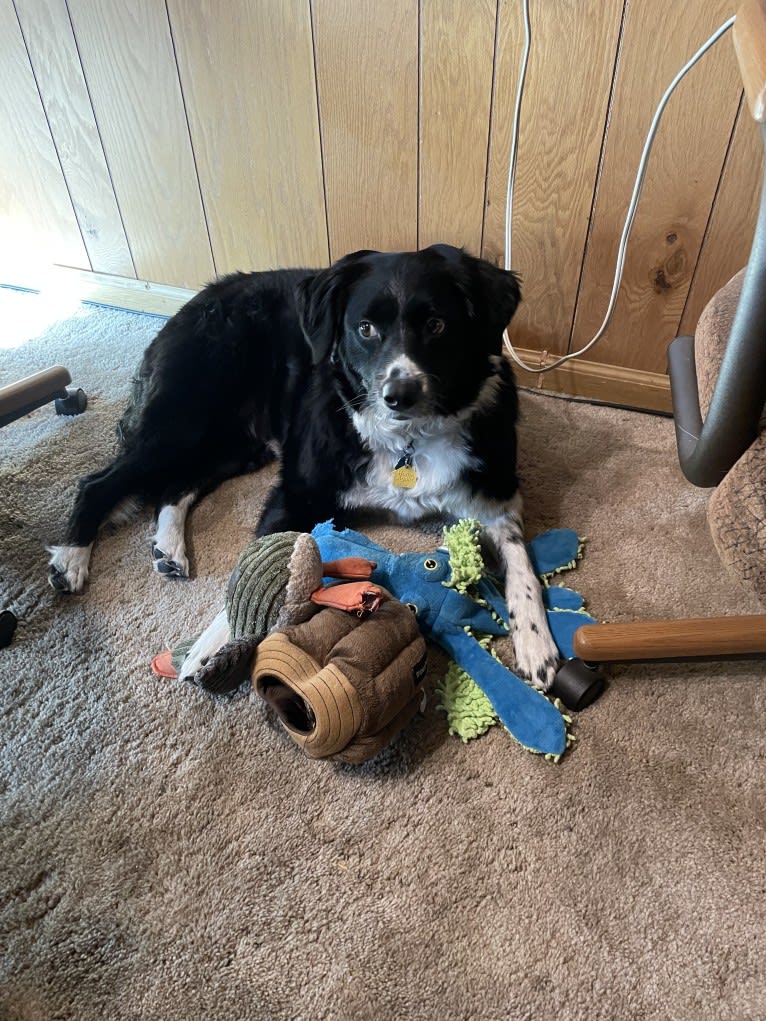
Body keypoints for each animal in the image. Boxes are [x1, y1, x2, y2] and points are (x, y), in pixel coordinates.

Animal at [49, 241, 559, 686]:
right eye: (365, 328)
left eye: (436, 325)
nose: (399, 395)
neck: (408, 441)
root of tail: (202, 295)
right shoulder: (297, 492)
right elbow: (249, 570)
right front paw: (209, 648)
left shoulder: (497, 497)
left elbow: (522, 567)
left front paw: (537, 644)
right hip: (185, 417)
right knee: (98, 482)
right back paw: (71, 559)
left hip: (236, 442)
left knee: (178, 483)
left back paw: (167, 548)